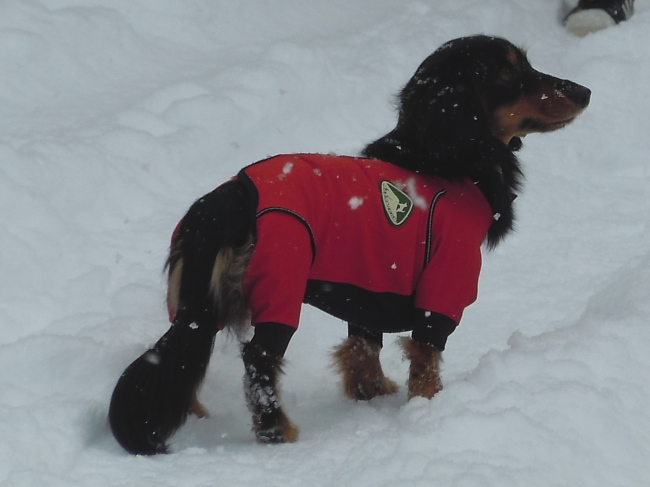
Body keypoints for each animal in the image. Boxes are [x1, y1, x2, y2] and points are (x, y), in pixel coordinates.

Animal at [110, 36, 588, 456]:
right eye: (509, 72)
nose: (583, 92)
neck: (444, 160)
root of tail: (227, 200)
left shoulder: (369, 290)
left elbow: (363, 349)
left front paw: (372, 394)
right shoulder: (444, 284)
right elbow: (426, 355)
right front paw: (428, 405)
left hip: (199, 306)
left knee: (178, 360)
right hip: (279, 286)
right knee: (258, 362)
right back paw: (277, 432)